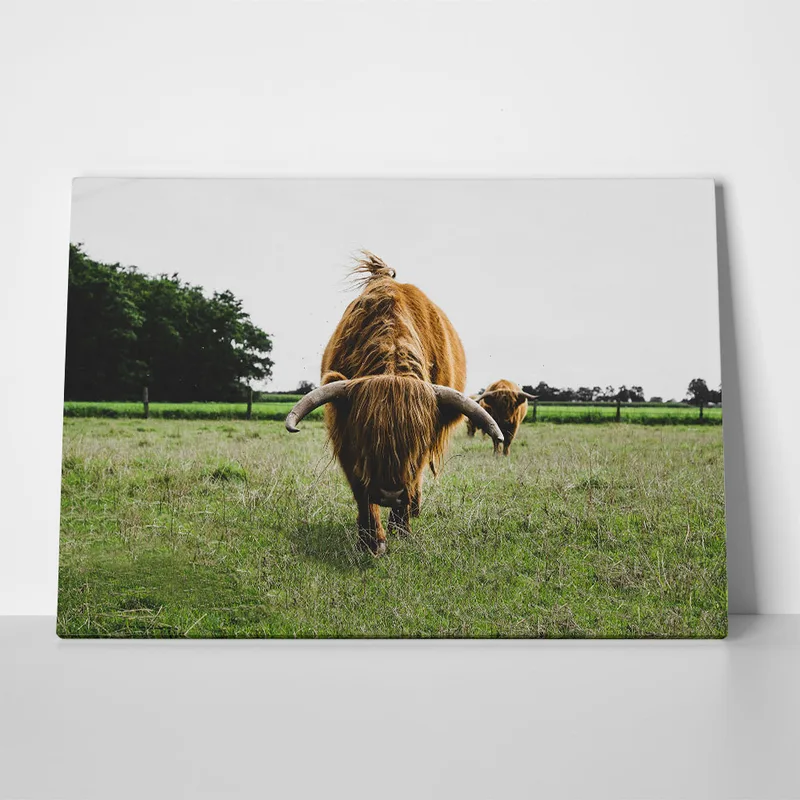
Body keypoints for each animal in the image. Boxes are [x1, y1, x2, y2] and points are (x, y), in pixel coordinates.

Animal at [285, 252, 503, 555]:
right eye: (366, 438)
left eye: (418, 444)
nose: (390, 493)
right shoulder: (346, 442)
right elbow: (362, 493)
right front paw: (370, 540)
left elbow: (412, 482)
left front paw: (401, 530)